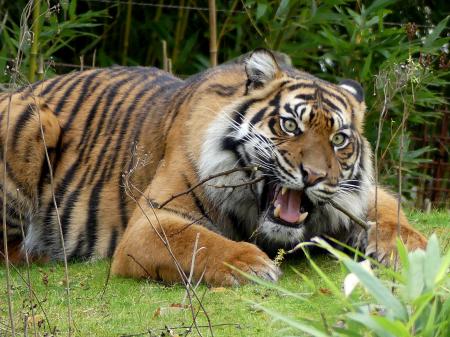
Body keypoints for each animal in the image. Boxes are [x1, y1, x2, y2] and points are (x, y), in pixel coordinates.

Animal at [1, 49, 428, 284]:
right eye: (290, 125)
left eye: (339, 139)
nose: (315, 176)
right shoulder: (150, 223)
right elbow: (198, 241)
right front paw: (251, 264)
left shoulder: (355, 193)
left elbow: (389, 209)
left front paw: (413, 247)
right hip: (31, 119)